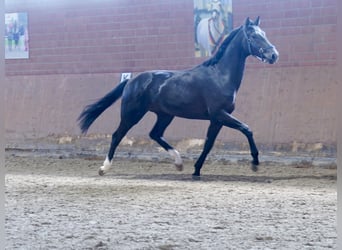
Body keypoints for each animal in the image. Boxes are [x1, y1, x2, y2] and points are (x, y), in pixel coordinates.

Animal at [79, 17, 280, 178]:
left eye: (264, 33)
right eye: (253, 36)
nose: (273, 55)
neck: (220, 75)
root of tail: (131, 80)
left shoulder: (216, 119)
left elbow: (208, 144)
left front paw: (196, 170)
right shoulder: (220, 114)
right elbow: (247, 129)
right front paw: (255, 163)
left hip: (165, 115)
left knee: (155, 134)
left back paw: (179, 163)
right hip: (132, 114)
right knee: (117, 135)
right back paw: (104, 168)